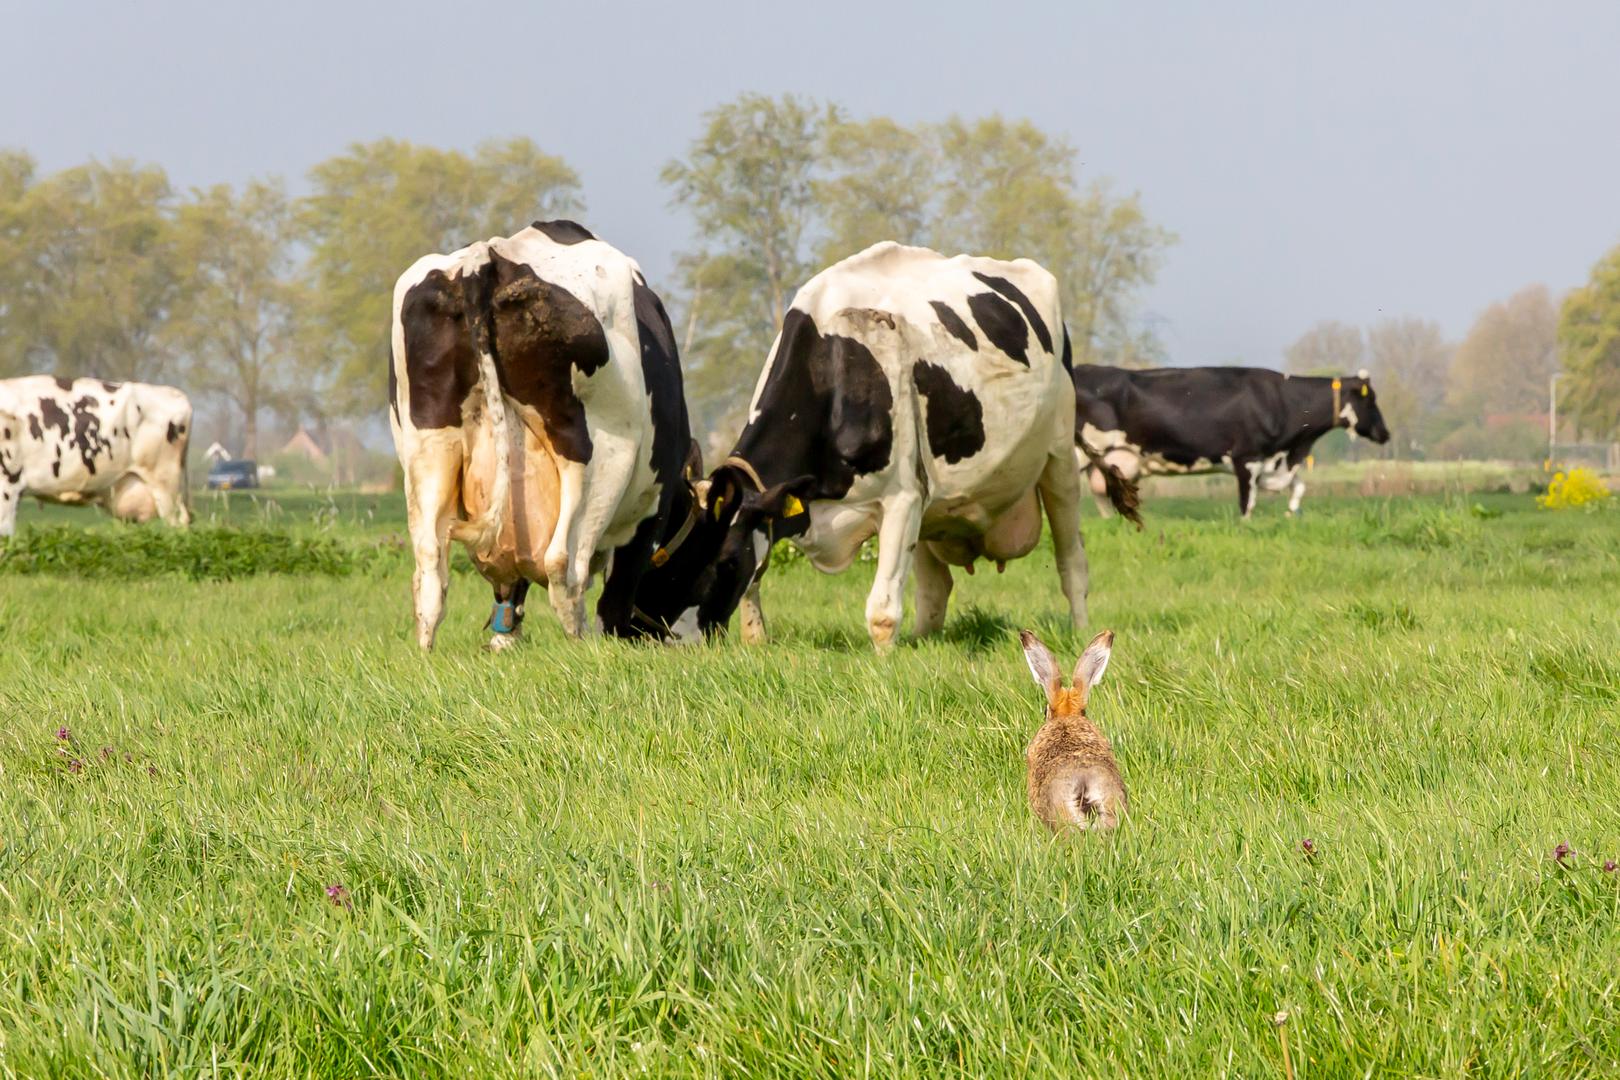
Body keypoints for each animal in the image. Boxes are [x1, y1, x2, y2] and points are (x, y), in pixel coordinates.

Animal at [389, 219, 700, 651]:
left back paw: (427, 649)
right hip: (595, 456)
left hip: (429, 448)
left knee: (430, 566)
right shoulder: (652, 503)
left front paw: (505, 642)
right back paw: (582, 643)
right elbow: (616, 599)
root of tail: (487, 257)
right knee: (564, 564)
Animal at [631, 241, 1140, 651]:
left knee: (1072, 563)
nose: (680, 640)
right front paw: (756, 640)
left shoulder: (902, 497)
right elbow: (758, 583)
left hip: (1058, 457)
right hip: (939, 505)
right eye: (666, 557)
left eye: (724, 560)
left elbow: (881, 610)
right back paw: (923, 639)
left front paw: (884, 664)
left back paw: (1081, 633)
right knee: (935, 590)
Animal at [1072, 365, 1391, 518]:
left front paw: (1291, 514)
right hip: (1079, 451)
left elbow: (1299, 487)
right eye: (1371, 400)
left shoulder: (1275, 461)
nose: (1386, 433)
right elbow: (1246, 504)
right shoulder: (1247, 458)